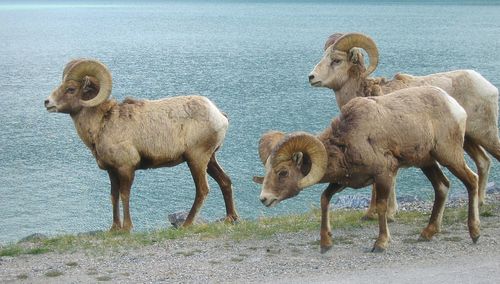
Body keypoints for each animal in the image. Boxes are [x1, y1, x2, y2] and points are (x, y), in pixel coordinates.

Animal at [44, 59, 239, 231]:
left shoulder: (126, 168)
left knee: (202, 190)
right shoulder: (111, 171)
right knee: (225, 181)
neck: (102, 123)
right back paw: (231, 218)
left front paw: (126, 228)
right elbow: (114, 196)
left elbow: (125, 195)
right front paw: (114, 228)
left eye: (71, 89)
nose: (47, 103)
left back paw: (187, 224)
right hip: (210, 159)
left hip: (196, 160)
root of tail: (219, 115)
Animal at [254, 86, 480, 253]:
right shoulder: (345, 181)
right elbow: (325, 199)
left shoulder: (384, 176)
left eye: (283, 172)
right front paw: (326, 244)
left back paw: (475, 233)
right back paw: (427, 233)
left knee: (472, 180)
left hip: (449, 156)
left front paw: (380, 244)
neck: (349, 138)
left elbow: (381, 206)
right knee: (442, 187)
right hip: (427, 163)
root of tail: (455, 107)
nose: (264, 199)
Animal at [308, 31, 500, 220]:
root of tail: (487, 85)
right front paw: (370, 214)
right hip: (467, 140)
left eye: (336, 60)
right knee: (483, 162)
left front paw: (389, 213)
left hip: (484, 134)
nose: (311, 77)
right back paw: (480, 202)